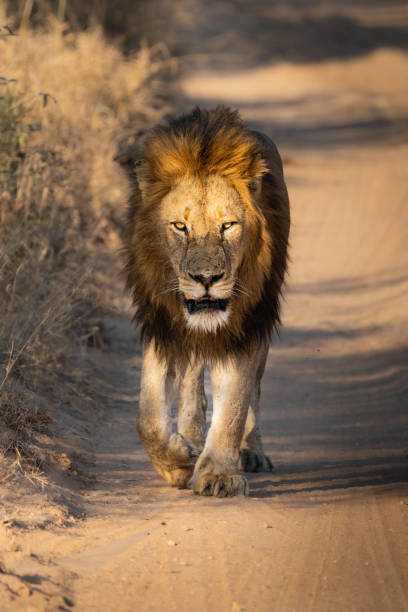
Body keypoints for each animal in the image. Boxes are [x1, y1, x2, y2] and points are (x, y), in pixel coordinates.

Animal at [124, 106, 290, 498]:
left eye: (228, 226)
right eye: (179, 227)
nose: (206, 280)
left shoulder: (246, 326)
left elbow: (234, 405)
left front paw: (217, 474)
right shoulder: (164, 326)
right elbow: (147, 418)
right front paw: (179, 462)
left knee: (253, 392)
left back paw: (251, 452)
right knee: (191, 383)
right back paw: (191, 436)